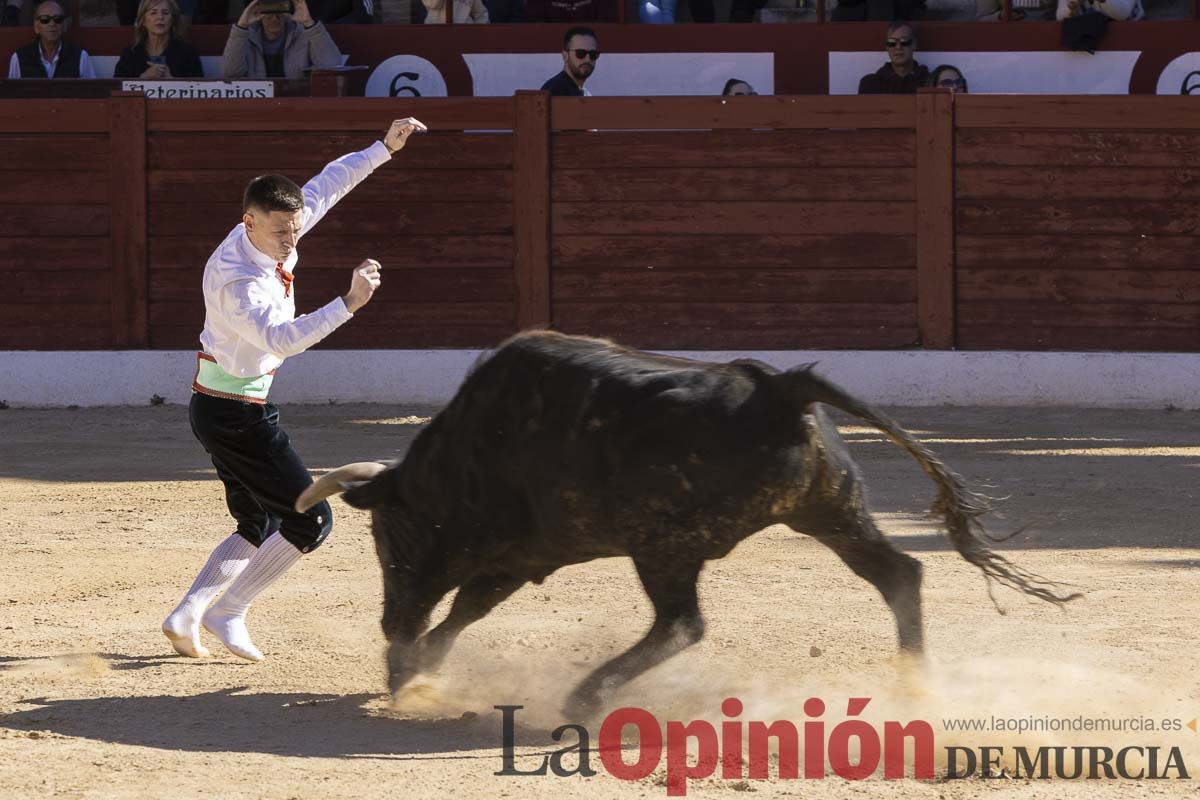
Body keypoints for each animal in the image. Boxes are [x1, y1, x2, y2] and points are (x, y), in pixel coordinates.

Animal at [297, 331, 1080, 714]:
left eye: (386, 538)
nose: (388, 624)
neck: (461, 456)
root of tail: (779, 387)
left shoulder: (515, 548)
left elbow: (465, 602)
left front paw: (409, 668)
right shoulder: (523, 555)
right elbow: (467, 608)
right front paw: (415, 669)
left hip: (664, 545)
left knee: (682, 623)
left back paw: (586, 697)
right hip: (831, 511)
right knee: (899, 575)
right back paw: (917, 685)